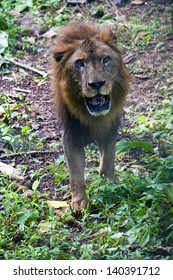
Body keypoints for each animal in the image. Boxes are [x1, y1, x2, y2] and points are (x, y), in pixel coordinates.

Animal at [50, 22, 129, 210]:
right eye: (79, 63)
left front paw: (112, 183)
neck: (94, 117)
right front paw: (79, 202)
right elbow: (76, 172)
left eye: (106, 59)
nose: (97, 83)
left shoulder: (110, 127)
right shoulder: (71, 135)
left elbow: (108, 158)